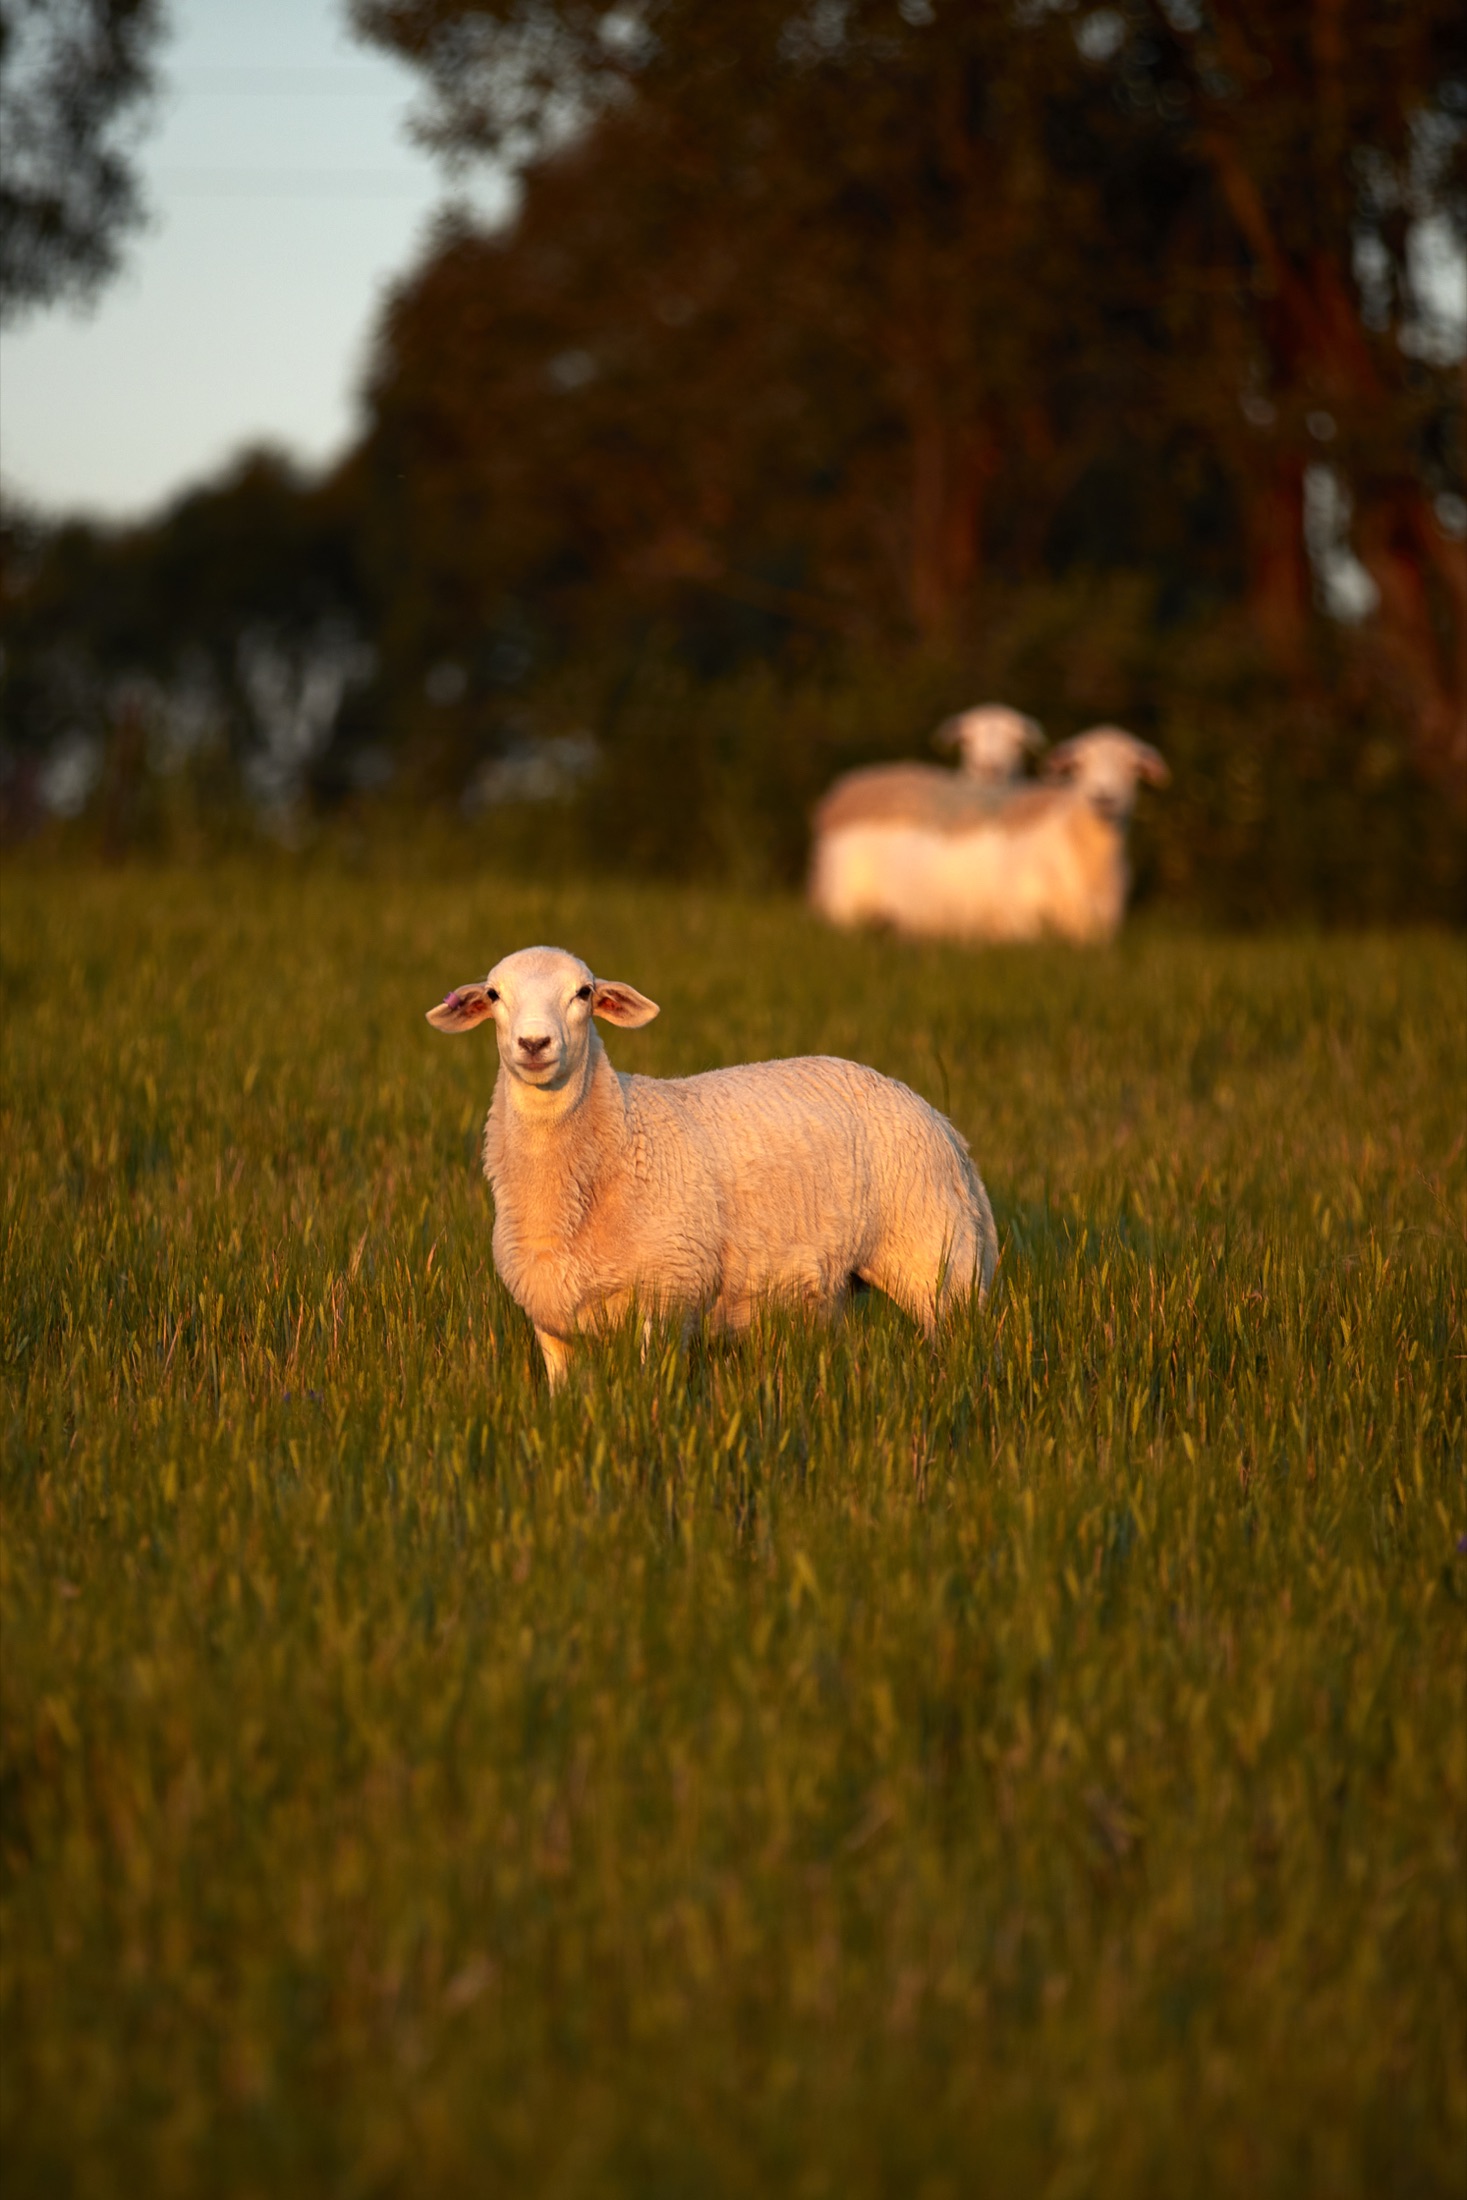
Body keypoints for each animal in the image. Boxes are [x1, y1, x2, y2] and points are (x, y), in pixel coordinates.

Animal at [426, 944, 997, 1388]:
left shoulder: (665, 1298)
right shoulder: (551, 1321)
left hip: (938, 1266)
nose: (534, 1044)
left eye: (583, 993)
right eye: (494, 995)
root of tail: (944, 1123)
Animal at [809, 726, 1169, 944]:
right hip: (845, 908)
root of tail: (847, 787)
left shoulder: (1095, 933)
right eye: (1079, 765)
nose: (1103, 797)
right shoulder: (1022, 923)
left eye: (1132, 767)